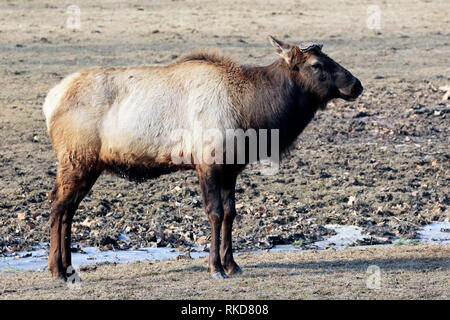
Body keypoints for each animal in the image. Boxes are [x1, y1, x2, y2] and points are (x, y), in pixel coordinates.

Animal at [44, 36, 362, 278]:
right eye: (317, 64)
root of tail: (49, 101)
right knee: (58, 204)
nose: (357, 84)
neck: (253, 114)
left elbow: (231, 213)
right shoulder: (207, 163)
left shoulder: (231, 168)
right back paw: (57, 270)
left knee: (69, 208)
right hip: (75, 159)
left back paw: (67, 267)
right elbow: (215, 213)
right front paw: (215, 267)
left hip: (87, 165)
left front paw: (232, 264)